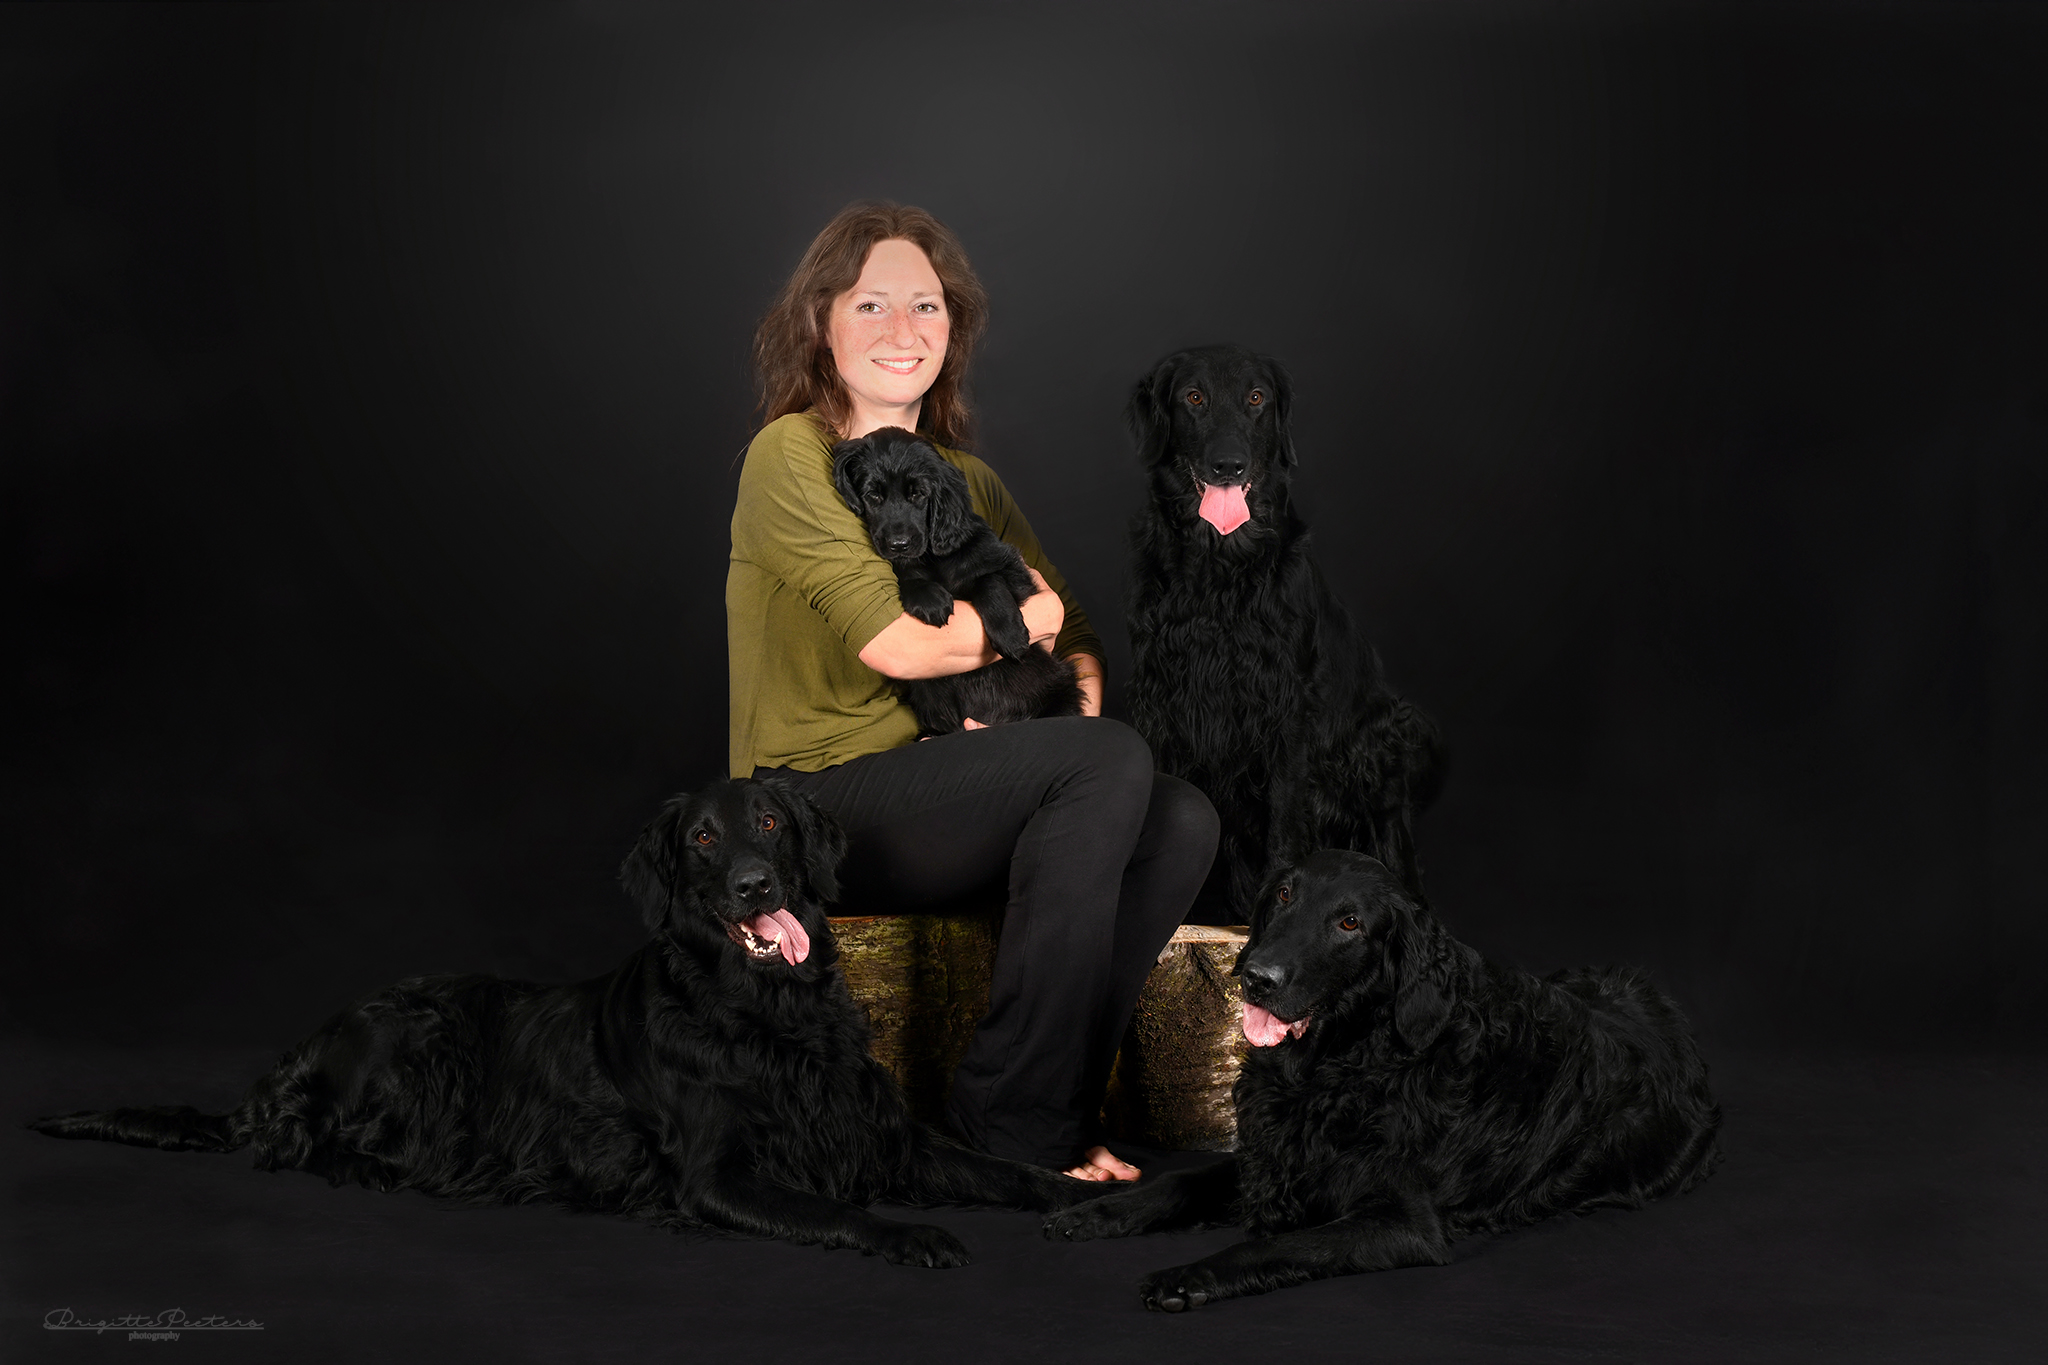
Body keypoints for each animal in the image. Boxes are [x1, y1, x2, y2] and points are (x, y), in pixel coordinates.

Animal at [31, 778, 1091, 1264]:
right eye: (701, 837)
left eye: (773, 824)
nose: (756, 884)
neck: (771, 1018)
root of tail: (296, 1056)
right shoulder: (717, 1176)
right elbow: (837, 1207)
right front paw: (911, 1232)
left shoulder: (882, 1133)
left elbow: (1003, 1169)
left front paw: (1083, 1197)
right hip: (411, 1035)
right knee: (299, 1146)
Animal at [832, 426, 1082, 735]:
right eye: (873, 496)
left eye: (919, 494)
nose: (899, 544)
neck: (931, 559)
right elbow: (905, 573)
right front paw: (929, 599)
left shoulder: (1014, 572)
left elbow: (988, 581)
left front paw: (1010, 635)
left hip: (1061, 684)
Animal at [1045, 850, 1722, 1309]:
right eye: (1284, 895)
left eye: (1350, 924)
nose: (1258, 977)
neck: (1346, 1065)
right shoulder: (1271, 1153)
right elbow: (1181, 1180)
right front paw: (1099, 1210)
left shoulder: (1403, 1223)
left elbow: (1276, 1244)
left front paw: (1186, 1276)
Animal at [1125, 346, 1443, 914]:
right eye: (1194, 397)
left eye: (1256, 398)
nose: (1229, 464)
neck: (1219, 568)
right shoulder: (1158, 697)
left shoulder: (1287, 708)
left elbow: (1284, 816)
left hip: (1391, 739)